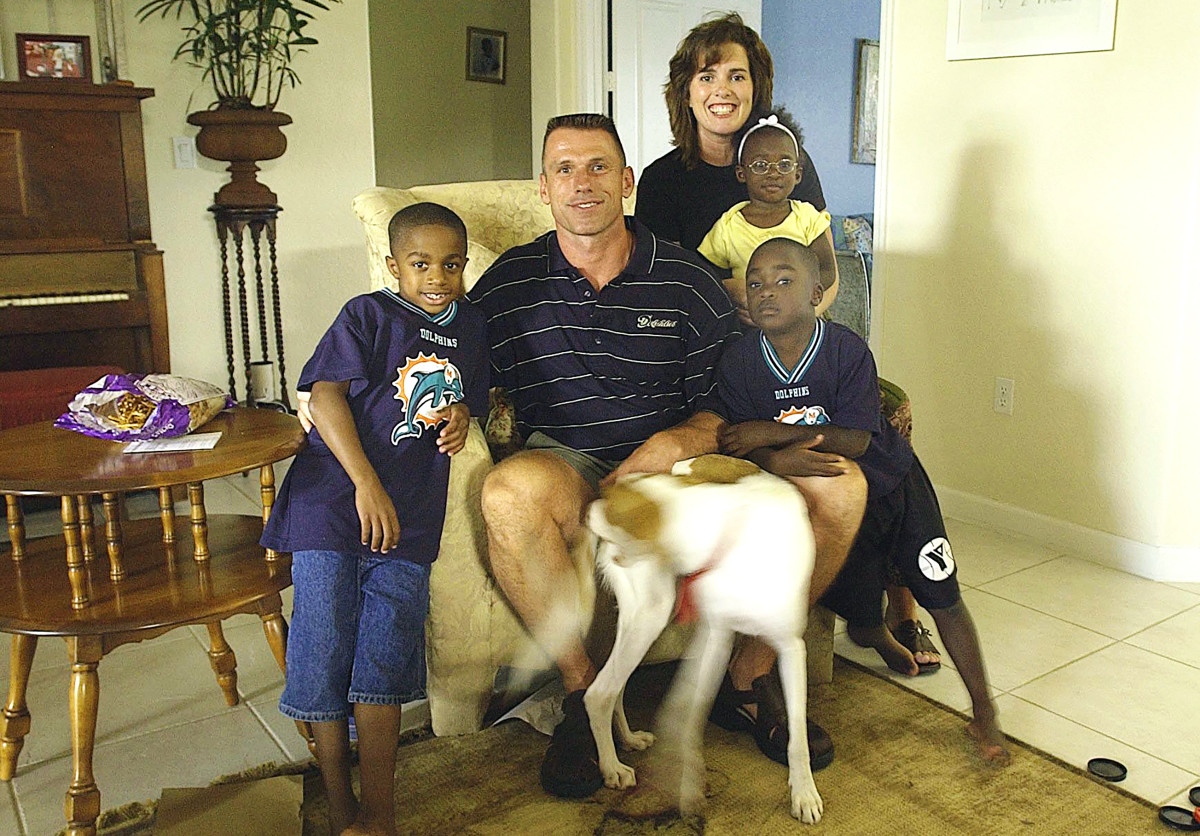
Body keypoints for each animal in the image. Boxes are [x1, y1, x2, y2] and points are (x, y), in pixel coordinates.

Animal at [580, 453, 825, 820]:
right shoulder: (715, 640)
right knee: (600, 693)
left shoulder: (788, 647)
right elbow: (685, 719)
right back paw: (612, 766)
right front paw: (686, 782)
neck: (732, 531)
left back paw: (628, 740)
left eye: (609, 508)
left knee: (614, 688)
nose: (587, 508)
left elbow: (797, 734)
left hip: (650, 618)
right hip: (651, 615)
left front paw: (804, 792)